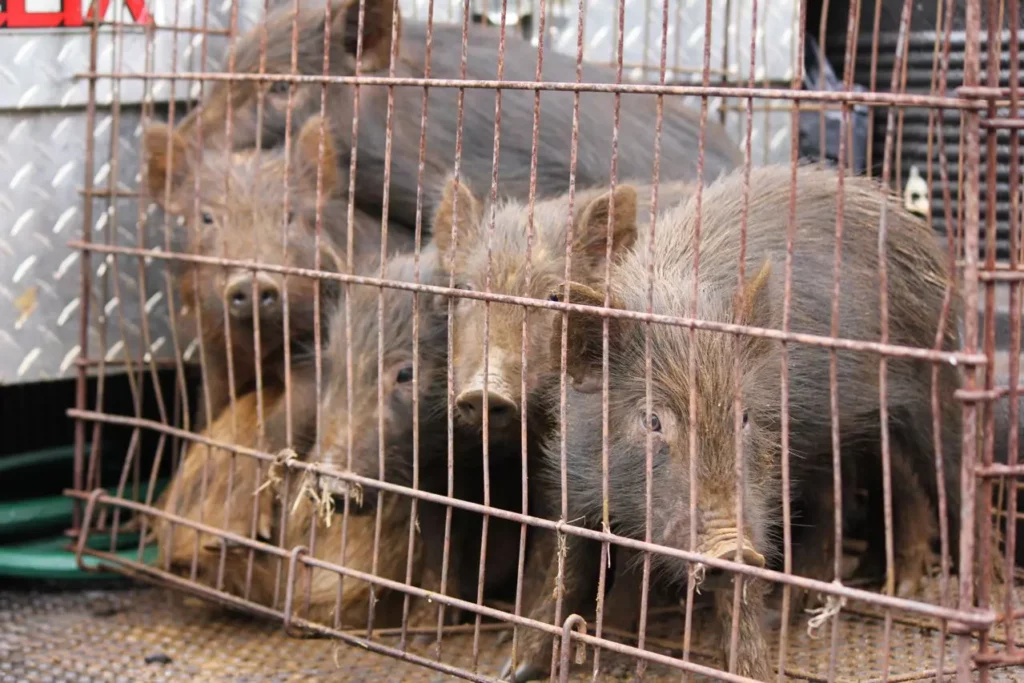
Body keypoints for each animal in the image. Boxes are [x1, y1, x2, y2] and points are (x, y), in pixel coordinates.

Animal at [144, 112, 415, 423]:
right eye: (206, 218)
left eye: (288, 216)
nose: (251, 281)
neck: (257, 350)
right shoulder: (215, 351)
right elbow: (210, 409)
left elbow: (288, 418)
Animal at [507, 162, 962, 679]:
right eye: (651, 420)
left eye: (744, 416)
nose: (731, 545)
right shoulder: (574, 474)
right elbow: (568, 567)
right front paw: (515, 667)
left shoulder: (757, 495)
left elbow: (740, 589)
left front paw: (750, 668)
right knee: (837, 499)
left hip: (935, 390)